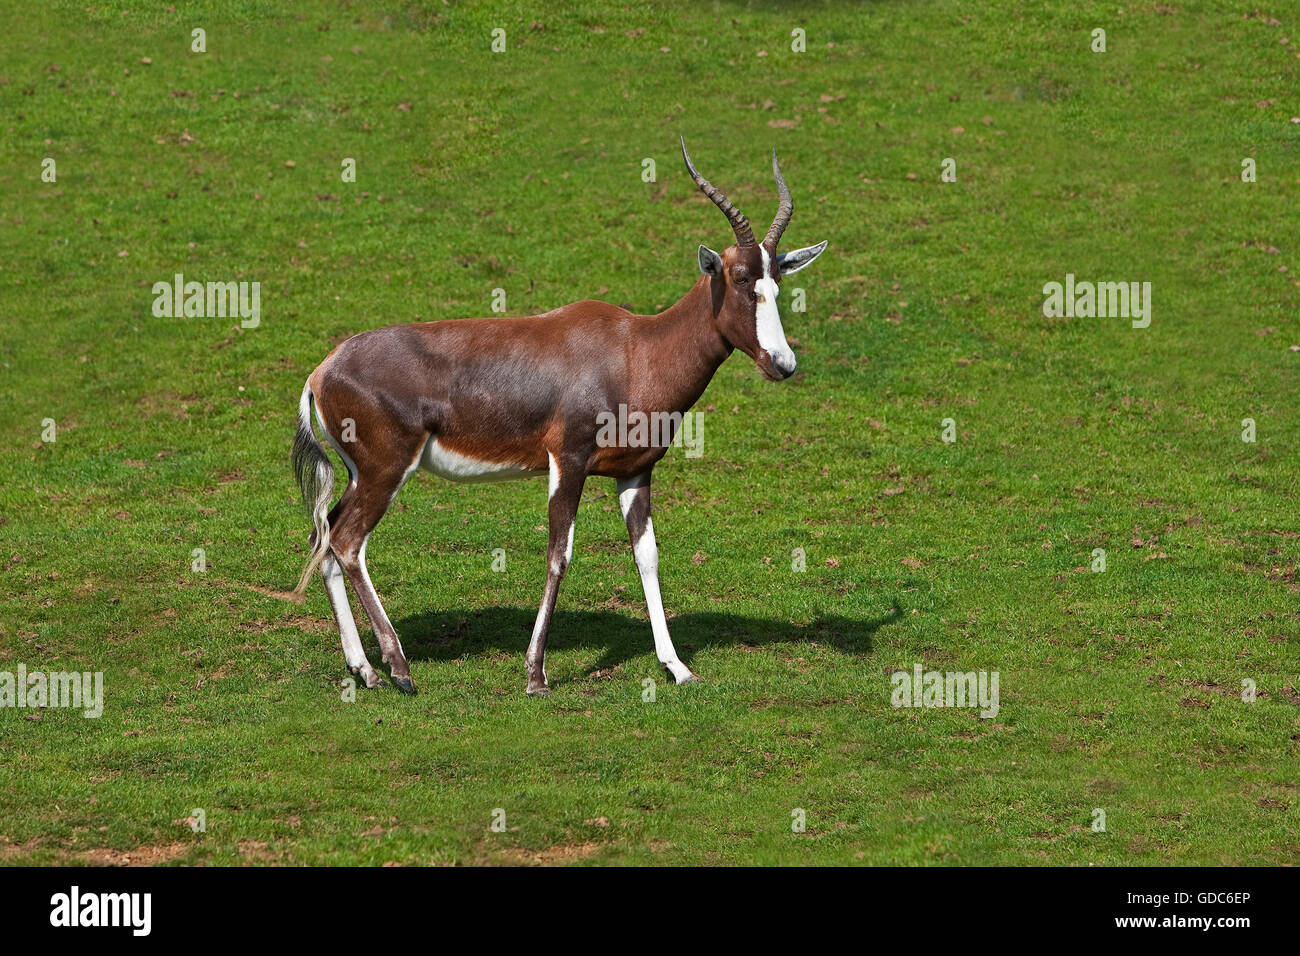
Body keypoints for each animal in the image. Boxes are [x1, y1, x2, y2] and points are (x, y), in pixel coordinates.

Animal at [289, 138, 826, 697]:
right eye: (740, 279)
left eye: (777, 283)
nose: (782, 363)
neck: (633, 349)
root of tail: (322, 371)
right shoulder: (568, 462)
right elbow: (559, 554)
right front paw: (535, 676)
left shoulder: (635, 473)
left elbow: (648, 556)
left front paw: (678, 668)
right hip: (386, 472)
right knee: (347, 542)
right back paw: (399, 669)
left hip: (360, 475)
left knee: (323, 537)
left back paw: (365, 669)